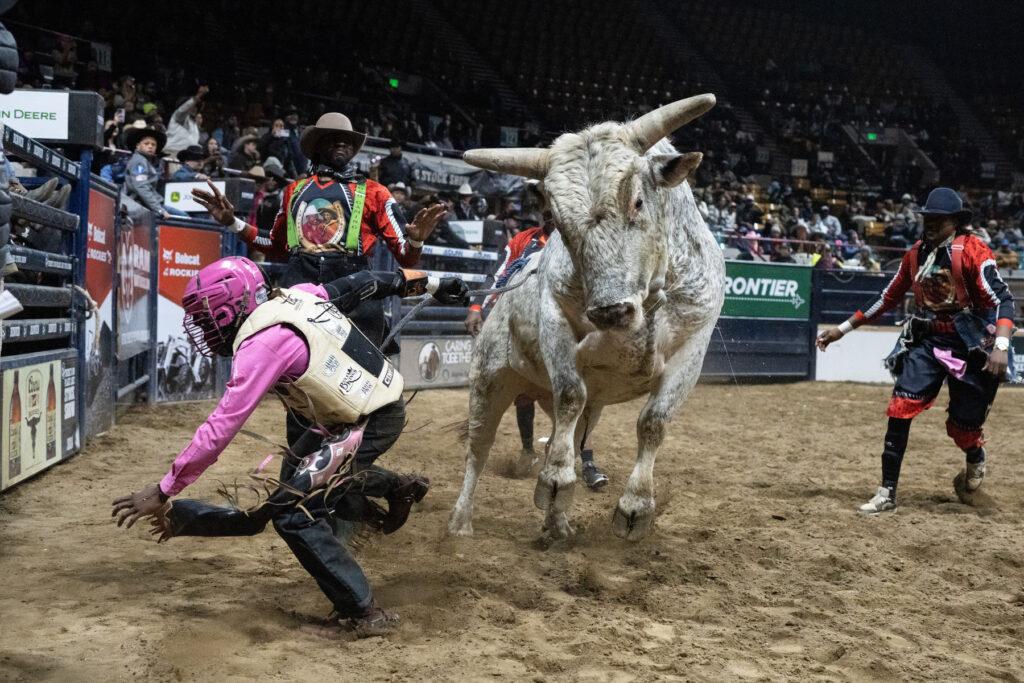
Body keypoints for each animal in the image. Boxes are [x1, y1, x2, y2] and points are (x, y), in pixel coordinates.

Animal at [450, 96, 729, 540]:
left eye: (637, 201)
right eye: (561, 223)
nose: (611, 310)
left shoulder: (694, 342)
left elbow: (654, 421)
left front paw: (636, 507)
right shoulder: (554, 318)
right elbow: (570, 393)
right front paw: (556, 481)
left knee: (562, 436)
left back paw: (558, 525)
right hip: (490, 379)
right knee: (480, 448)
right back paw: (462, 522)